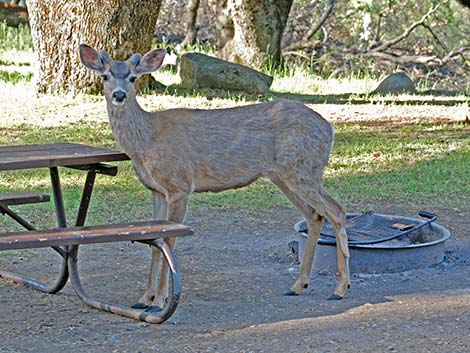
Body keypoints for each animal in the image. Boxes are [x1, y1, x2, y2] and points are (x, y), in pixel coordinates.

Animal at [79, 43, 348, 310]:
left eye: (133, 78)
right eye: (105, 76)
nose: (119, 95)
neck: (147, 140)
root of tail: (330, 129)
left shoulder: (179, 185)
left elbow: (169, 241)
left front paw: (160, 299)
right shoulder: (156, 189)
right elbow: (155, 242)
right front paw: (144, 298)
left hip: (303, 169)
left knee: (336, 210)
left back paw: (340, 288)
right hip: (284, 175)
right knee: (315, 215)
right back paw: (299, 285)